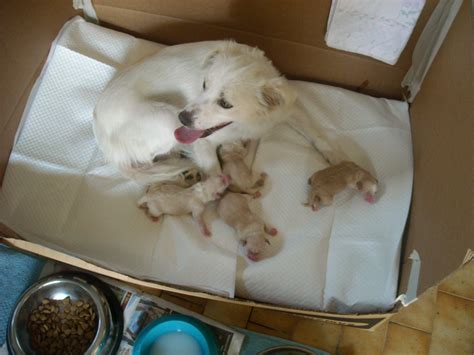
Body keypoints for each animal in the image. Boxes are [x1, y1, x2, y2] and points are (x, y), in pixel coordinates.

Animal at [93, 41, 344, 184]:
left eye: (225, 103)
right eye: (204, 84)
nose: (183, 118)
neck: (247, 123)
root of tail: (101, 137)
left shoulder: (289, 109)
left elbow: (315, 132)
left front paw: (337, 157)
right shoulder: (201, 140)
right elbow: (214, 171)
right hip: (165, 117)